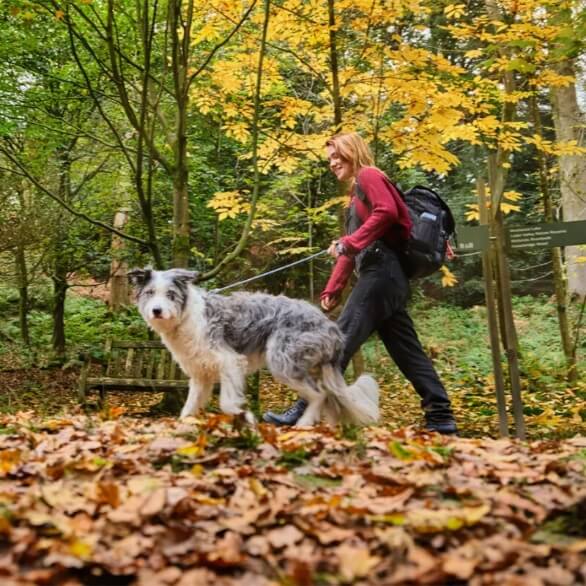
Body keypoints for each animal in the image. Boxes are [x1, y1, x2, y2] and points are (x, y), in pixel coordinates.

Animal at [126, 268, 378, 424]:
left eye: (170, 294)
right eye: (150, 293)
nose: (156, 310)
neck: (186, 315)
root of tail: (332, 329)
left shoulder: (231, 362)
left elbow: (227, 402)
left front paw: (245, 417)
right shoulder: (200, 375)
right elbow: (188, 408)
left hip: (282, 361)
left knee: (319, 394)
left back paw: (305, 423)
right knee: (326, 395)